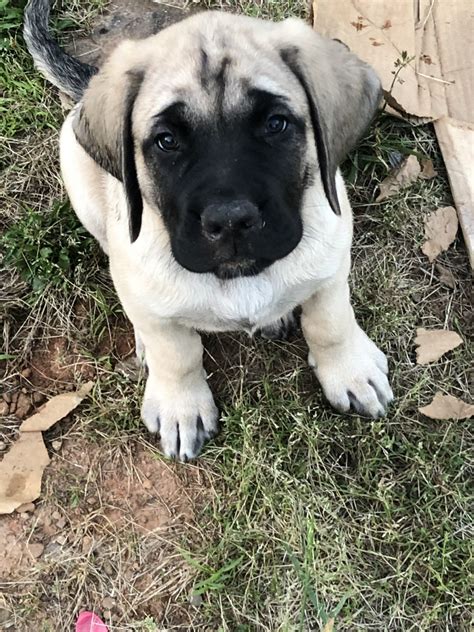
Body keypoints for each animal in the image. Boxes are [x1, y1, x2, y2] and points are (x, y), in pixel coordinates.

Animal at [24, 2, 392, 462]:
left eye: (276, 124)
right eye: (166, 141)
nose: (230, 220)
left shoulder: (331, 268)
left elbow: (332, 323)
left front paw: (351, 370)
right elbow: (177, 354)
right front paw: (181, 405)